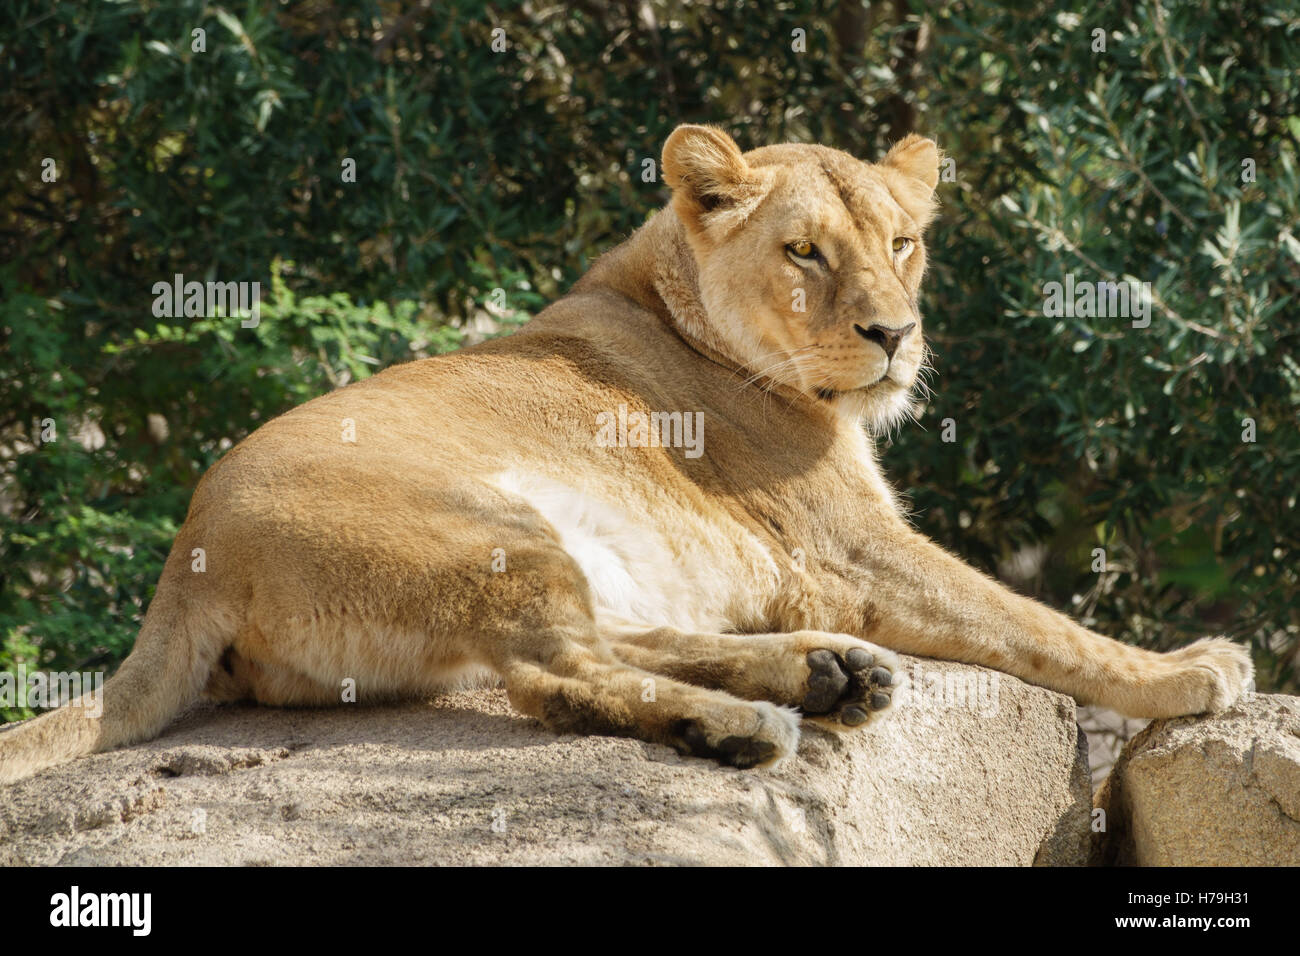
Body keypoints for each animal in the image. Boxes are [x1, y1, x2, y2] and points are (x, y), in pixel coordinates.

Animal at [0, 124, 1253, 782]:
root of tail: (187, 555)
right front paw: (1186, 667)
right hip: (489, 530)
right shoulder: (853, 550)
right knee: (554, 672)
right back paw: (753, 718)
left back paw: (825, 673)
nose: (894, 334)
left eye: (902, 242)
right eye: (805, 252)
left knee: (598, 641)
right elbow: (1034, 620)